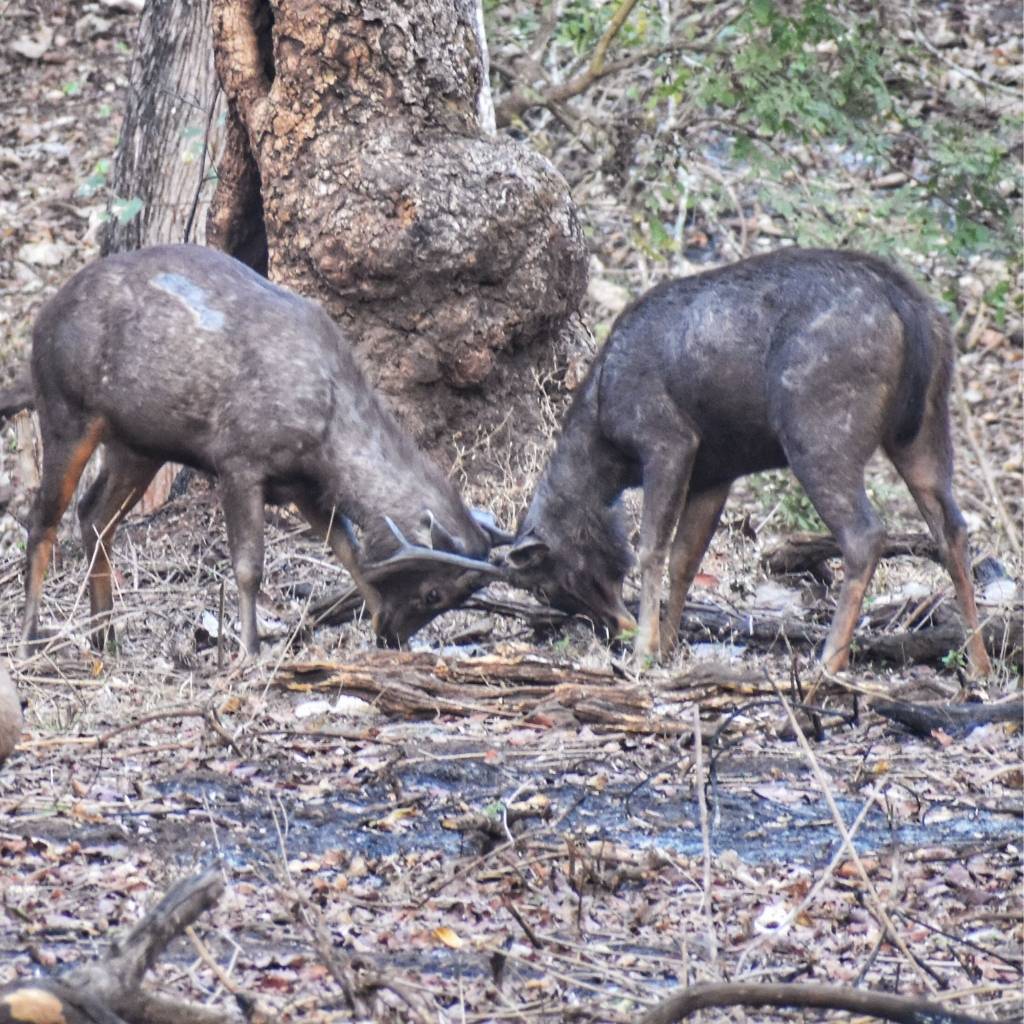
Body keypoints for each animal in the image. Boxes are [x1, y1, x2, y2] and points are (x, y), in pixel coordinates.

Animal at [505, 246, 991, 675]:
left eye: (549, 585)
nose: (616, 629)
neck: (607, 443)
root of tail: (912, 311)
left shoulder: (668, 439)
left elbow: (651, 549)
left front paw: (646, 652)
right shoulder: (716, 471)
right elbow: (686, 558)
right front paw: (668, 644)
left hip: (819, 427)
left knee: (865, 534)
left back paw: (828, 663)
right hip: (926, 425)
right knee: (952, 529)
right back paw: (979, 664)